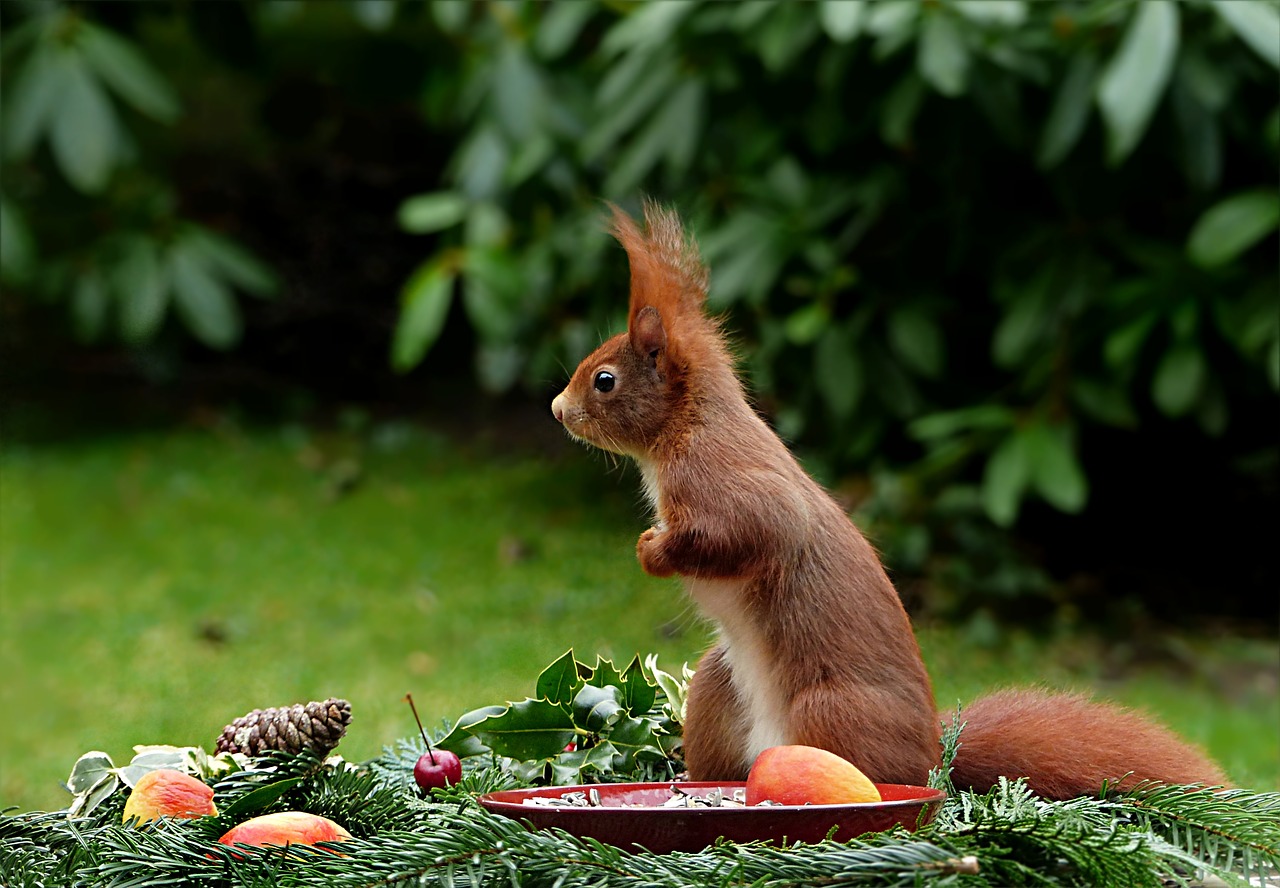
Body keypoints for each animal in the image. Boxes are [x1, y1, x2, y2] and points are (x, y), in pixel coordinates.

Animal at [550, 204, 1228, 803]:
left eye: (604, 381)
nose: (557, 410)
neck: (682, 429)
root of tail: (933, 763)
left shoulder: (724, 479)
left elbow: (750, 531)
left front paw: (652, 549)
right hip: (719, 690)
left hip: (829, 711)